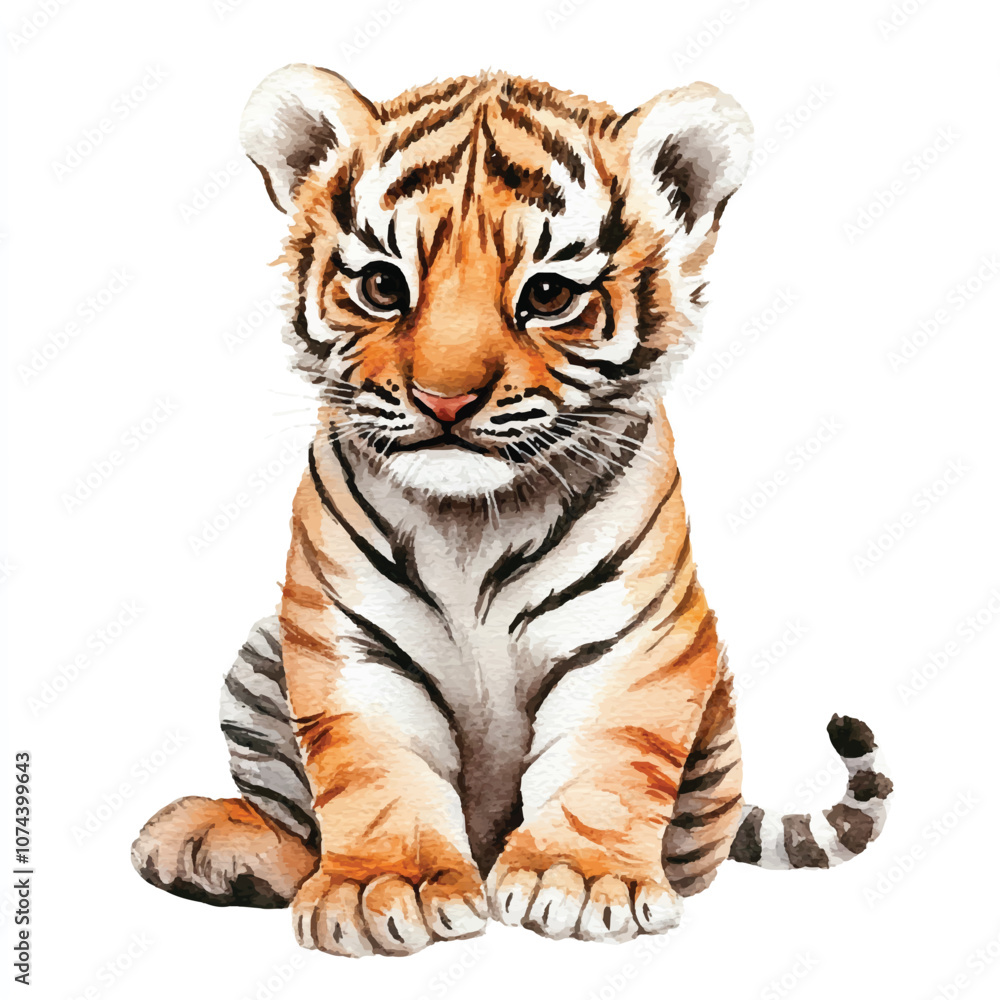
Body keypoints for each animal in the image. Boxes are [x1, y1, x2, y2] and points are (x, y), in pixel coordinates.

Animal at [131, 65, 893, 956]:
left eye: (549, 294)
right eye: (384, 285)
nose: (444, 398)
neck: (474, 522)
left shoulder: (633, 642)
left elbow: (605, 757)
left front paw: (583, 881)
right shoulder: (350, 639)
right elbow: (374, 768)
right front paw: (387, 888)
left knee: (694, 855)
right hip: (261, 656)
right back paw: (214, 845)